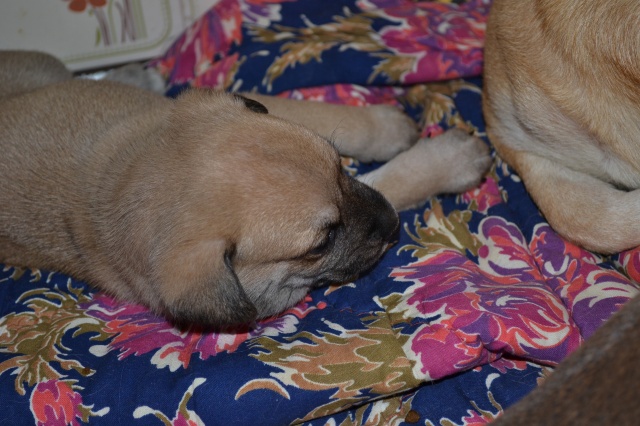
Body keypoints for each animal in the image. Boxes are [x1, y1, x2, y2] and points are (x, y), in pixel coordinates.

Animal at [0, 50, 490, 329]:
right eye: (322, 243)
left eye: (340, 167)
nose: (390, 224)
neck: (127, 171)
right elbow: (388, 180)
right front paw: (447, 162)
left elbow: (339, 121)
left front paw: (387, 127)